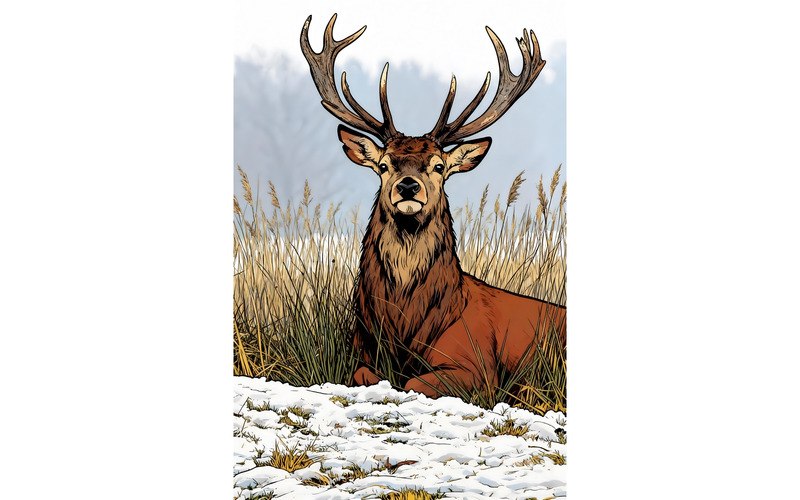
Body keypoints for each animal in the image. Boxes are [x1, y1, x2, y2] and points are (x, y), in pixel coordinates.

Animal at [300, 14, 566, 399]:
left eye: (439, 166)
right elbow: (362, 375)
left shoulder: (477, 365)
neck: (406, 325)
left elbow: (415, 381)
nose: (408, 186)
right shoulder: (360, 349)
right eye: (384, 165)